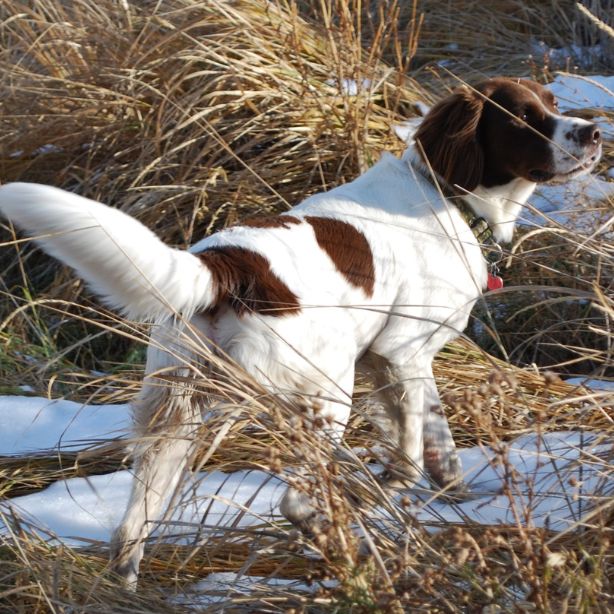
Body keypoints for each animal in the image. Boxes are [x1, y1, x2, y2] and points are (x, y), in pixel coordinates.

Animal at [0, 77, 604, 588]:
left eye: (552, 101)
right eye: (523, 117)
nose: (594, 132)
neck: (446, 196)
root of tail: (223, 267)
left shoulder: (385, 361)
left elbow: (439, 449)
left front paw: (457, 496)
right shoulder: (402, 352)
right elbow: (411, 453)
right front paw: (384, 490)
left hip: (176, 414)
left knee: (130, 529)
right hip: (325, 392)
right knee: (293, 502)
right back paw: (343, 544)